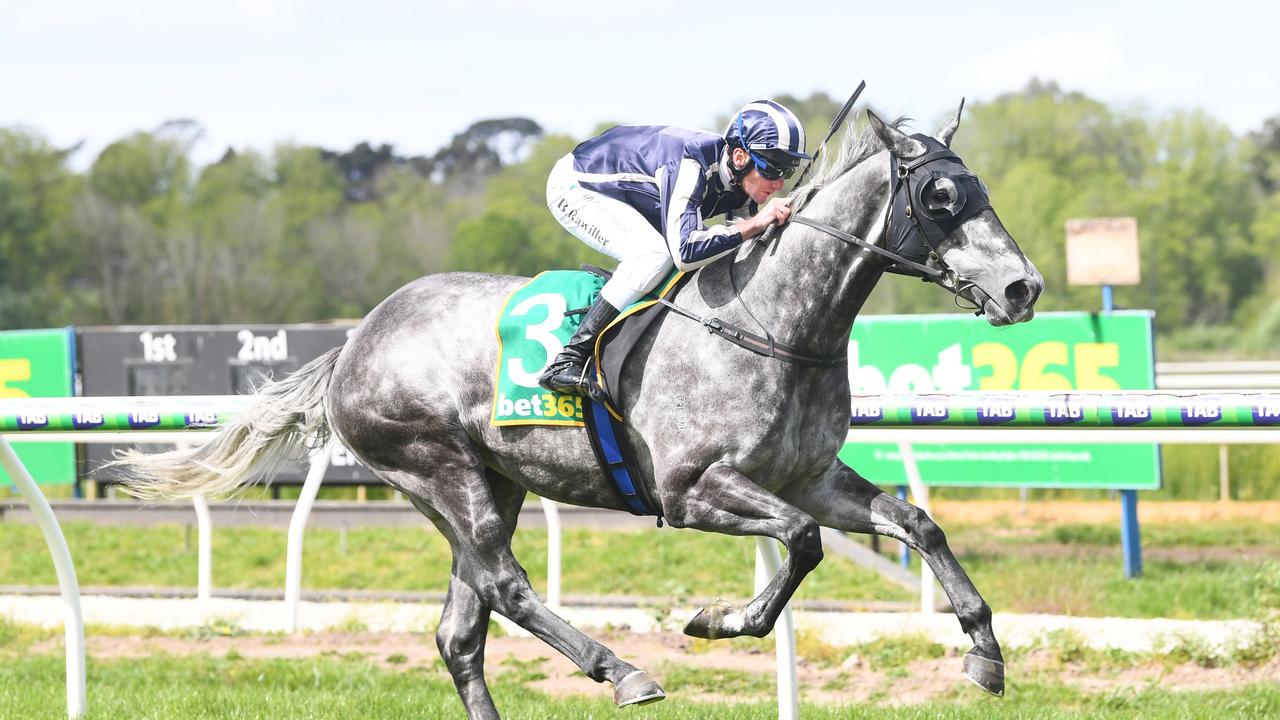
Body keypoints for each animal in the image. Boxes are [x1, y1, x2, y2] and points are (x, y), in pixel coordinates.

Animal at [115, 107, 1044, 717]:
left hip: (491, 484)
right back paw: (621, 669)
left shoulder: (808, 476)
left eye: (977, 188)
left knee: (462, 629)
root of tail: (354, 341)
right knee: (506, 586)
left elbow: (916, 523)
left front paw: (986, 654)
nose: (1022, 287)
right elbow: (804, 544)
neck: (774, 324)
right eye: (942, 198)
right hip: (437, 469)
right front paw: (719, 619)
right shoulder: (692, 490)